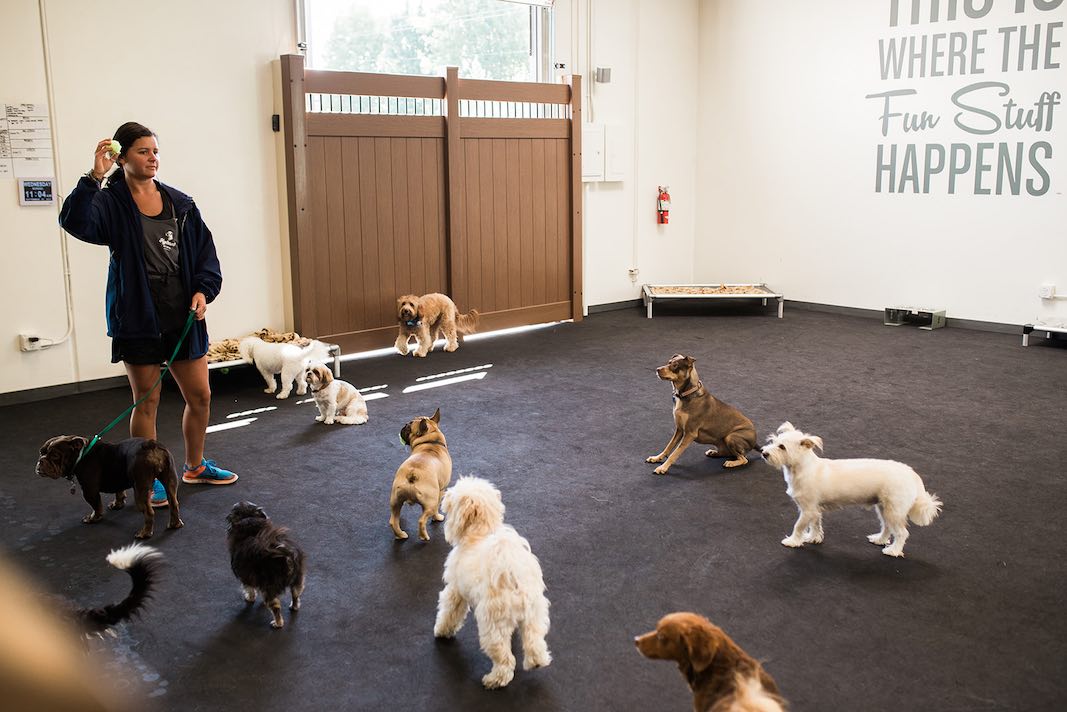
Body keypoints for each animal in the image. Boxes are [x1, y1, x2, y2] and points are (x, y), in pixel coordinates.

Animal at [390, 405, 452, 540]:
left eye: (409, 427)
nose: (405, 424)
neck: (430, 442)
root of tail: (412, 474)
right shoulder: (441, 490)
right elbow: (437, 507)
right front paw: (437, 517)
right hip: (430, 503)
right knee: (422, 519)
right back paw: (424, 536)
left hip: (395, 500)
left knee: (393, 520)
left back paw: (401, 535)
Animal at [431, 476, 550, 687]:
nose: (445, 496)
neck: (480, 534)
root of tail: (513, 578)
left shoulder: (455, 590)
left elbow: (449, 612)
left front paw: (442, 631)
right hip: (534, 616)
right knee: (534, 642)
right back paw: (536, 662)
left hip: (492, 626)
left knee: (505, 660)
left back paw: (494, 680)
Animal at [759, 420, 943, 559]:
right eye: (772, 441)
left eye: (782, 447)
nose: (763, 452)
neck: (803, 468)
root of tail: (911, 474)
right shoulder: (815, 510)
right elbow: (815, 525)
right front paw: (813, 538)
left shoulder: (808, 510)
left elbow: (799, 526)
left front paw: (792, 541)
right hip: (883, 508)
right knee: (887, 527)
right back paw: (879, 539)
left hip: (894, 511)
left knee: (902, 533)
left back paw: (893, 551)